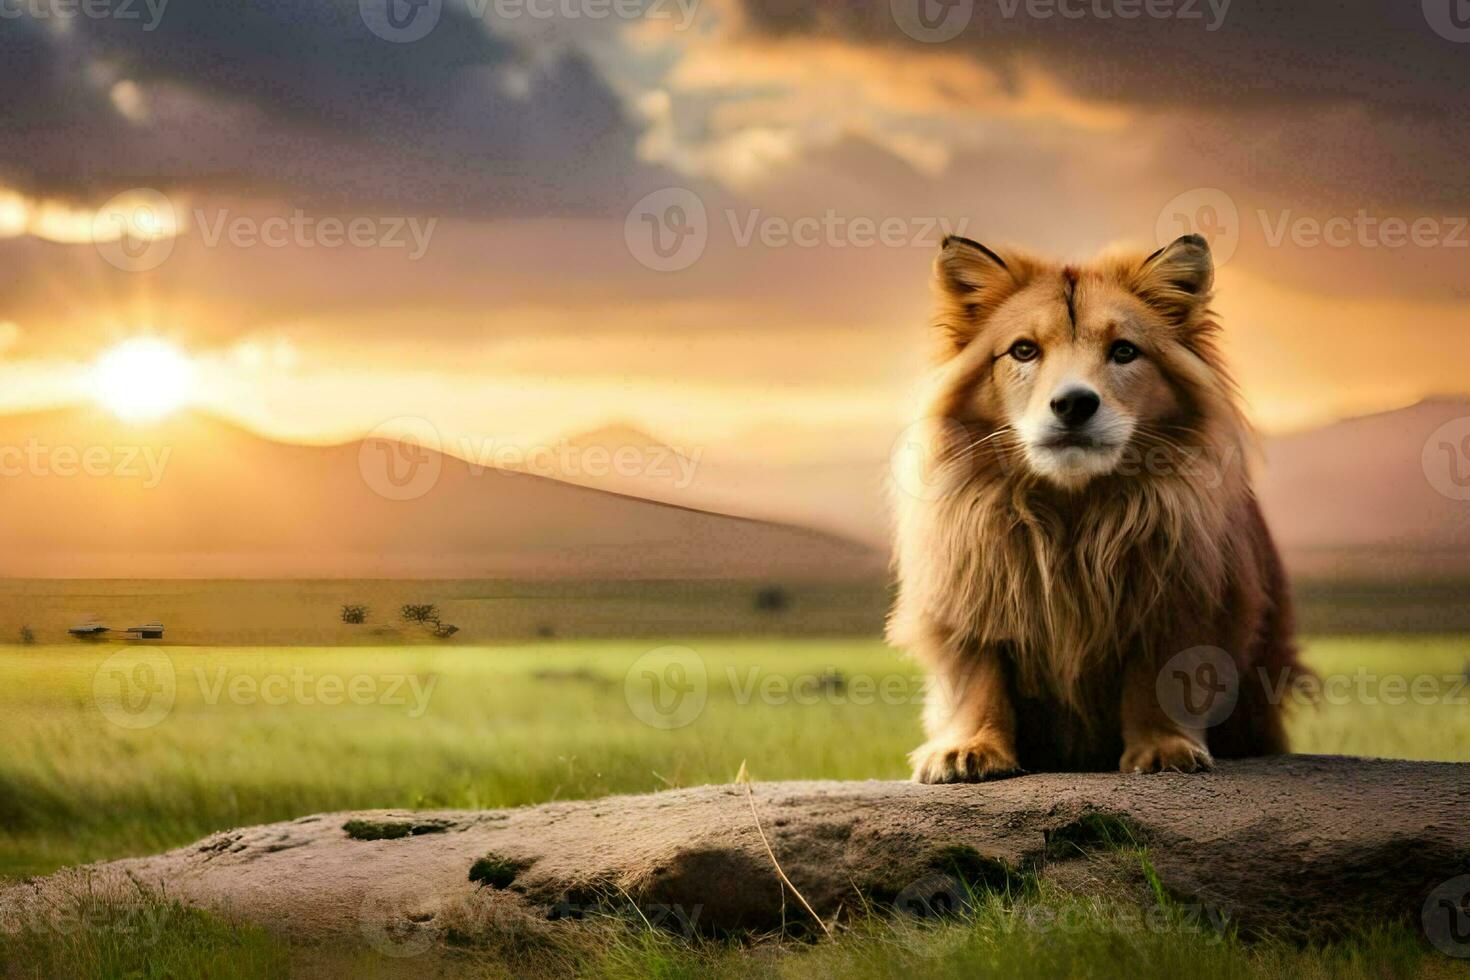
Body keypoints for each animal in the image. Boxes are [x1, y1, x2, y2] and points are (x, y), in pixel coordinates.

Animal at [882, 232, 1299, 781]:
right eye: (1023, 350)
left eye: (1123, 351)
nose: (1074, 404)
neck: (1071, 508)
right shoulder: (971, 592)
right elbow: (978, 676)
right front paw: (970, 748)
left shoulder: (1177, 595)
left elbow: (1159, 676)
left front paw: (1163, 748)